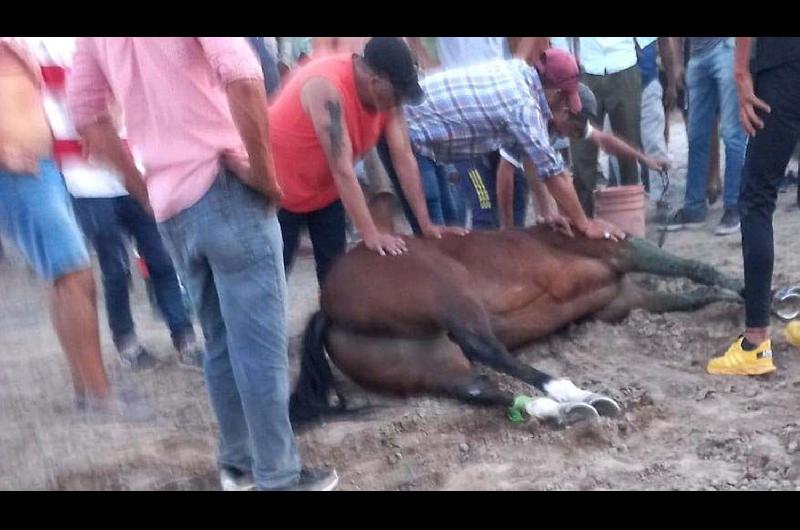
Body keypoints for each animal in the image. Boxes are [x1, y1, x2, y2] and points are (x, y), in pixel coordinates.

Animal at [290, 228, 744, 424]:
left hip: (429, 361)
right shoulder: (620, 250)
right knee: (483, 348)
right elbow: (696, 269)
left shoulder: (625, 300)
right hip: (447, 292)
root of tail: (327, 307)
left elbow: (694, 294)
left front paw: (736, 298)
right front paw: (751, 292)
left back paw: (564, 410)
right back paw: (572, 394)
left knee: (479, 388)